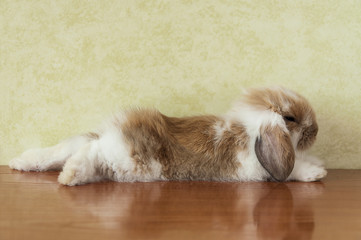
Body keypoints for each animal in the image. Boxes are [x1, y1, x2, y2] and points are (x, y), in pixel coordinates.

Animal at [9, 86, 326, 186]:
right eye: (291, 118)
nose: (316, 130)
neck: (250, 132)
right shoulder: (256, 170)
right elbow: (292, 169)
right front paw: (316, 172)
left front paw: (318, 166)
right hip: (128, 163)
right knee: (88, 154)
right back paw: (70, 175)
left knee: (66, 149)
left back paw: (21, 162)